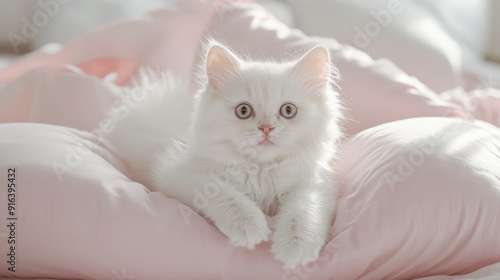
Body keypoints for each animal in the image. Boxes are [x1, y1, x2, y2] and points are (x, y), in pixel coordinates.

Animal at [106, 42, 344, 270]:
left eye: (288, 110)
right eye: (243, 111)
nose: (266, 128)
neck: (261, 168)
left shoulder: (316, 185)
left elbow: (304, 211)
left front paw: (295, 247)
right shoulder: (180, 171)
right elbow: (226, 195)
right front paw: (249, 226)